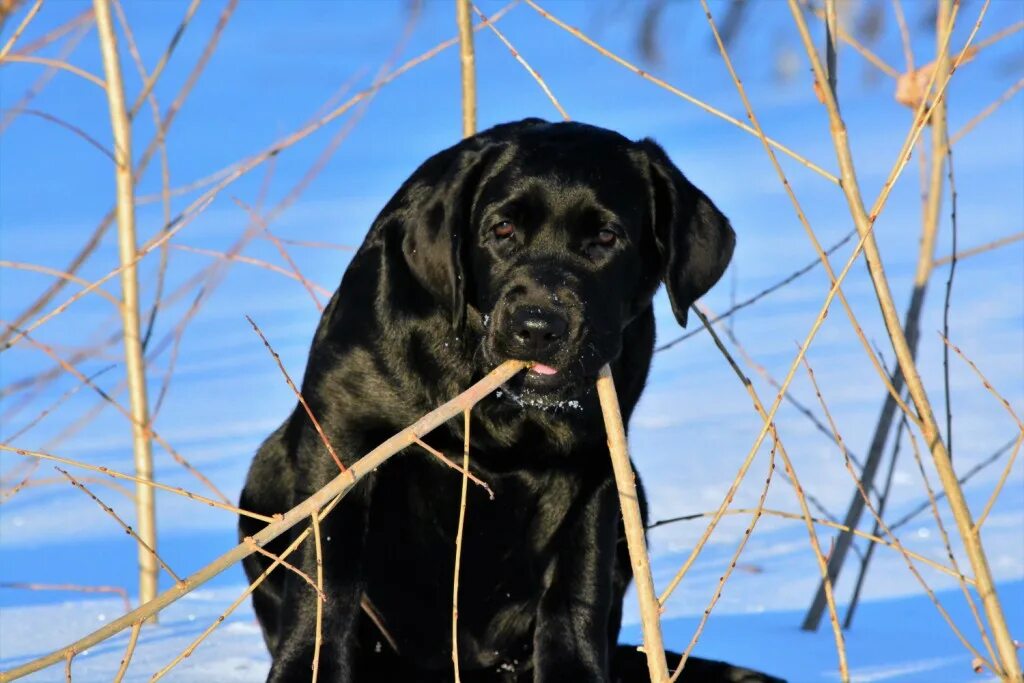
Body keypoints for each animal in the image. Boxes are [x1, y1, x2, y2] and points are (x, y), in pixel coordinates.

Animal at [239, 120, 778, 679]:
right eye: (502, 229)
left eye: (606, 238)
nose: (538, 326)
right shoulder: (343, 437)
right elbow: (326, 582)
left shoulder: (597, 465)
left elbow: (575, 597)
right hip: (266, 475)